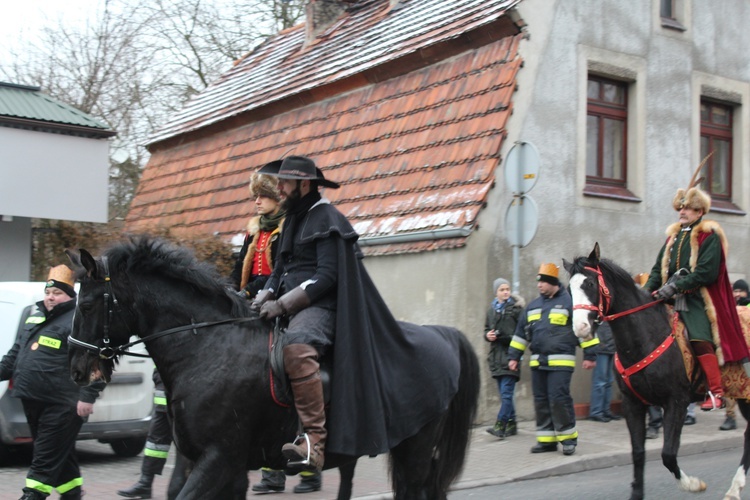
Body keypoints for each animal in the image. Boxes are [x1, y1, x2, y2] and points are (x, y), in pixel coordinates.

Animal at [63, 236, 476, 498]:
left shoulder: (219, 458)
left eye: (88, 305)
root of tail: (441, 335)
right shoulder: (202, 460)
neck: (207, 348)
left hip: (414, 451)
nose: (77, 370)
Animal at [568, 244, 750, 500]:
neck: (645, 337)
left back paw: (734, 488)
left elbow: (668, 455)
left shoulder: (677, 402)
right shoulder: (633, 403)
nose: (581, 328)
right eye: (569, 289)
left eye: (591, 283)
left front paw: (693, 484)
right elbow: (638, 452)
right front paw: (637, 493)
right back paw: (735, 488)